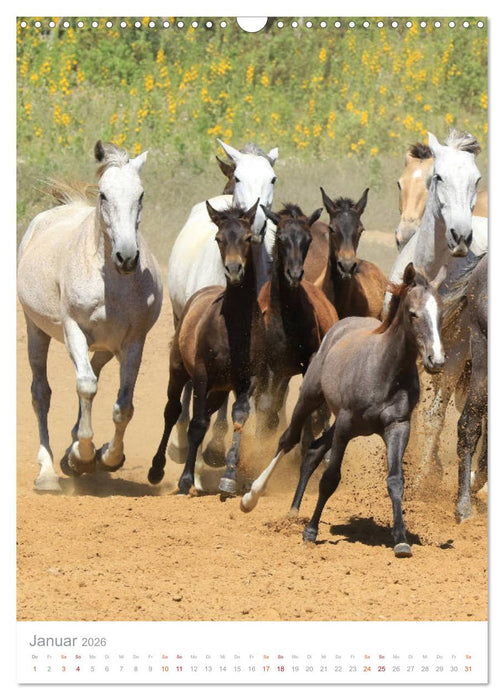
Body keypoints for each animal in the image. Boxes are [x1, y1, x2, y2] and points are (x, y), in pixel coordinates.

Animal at [17, 140, 163, 492]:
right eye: (104, 195)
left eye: (141, 194)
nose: (127, 257)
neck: (111, 283)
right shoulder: (74, 330)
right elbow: (85, 386)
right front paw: (82, 457)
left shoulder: (134, 341)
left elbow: (124, 406)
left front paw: (109, 456)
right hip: (35, 331)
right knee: (41, 393)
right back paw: (47, 472)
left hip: (107, 348)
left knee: (94, 372)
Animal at [148, 201, 268, 498]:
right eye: (219, 238)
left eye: (248, 237)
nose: (234, 270)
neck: (235, 328)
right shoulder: (202, 374)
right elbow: (197, 424)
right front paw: (186, 480)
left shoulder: (246, 380)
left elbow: (238, 418)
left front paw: (228, 478)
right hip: (179, 371)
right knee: (173, 411)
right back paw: (158, 469)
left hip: (218, 390)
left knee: (206, 414)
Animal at [167, 139, 278, 469]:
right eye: (238, 177)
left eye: (273, 179)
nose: (257, 224)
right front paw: (212, 447)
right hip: (180, 321)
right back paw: (180, 439)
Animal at [241, 263, 447, 558]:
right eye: (413, 313)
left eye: (440, 314)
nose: (436, 360)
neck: (385, 370)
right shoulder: (347, 424)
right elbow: (330, 478)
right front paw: (310, 532)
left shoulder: (397, 427)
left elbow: (396, 480)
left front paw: (401, 539)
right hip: (311, 399)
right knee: (288, 440)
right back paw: (252, 496)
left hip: (340, 423)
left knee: (313, 451)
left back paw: (293, 511)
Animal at [254, 204, 338, 435]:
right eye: (281, 238)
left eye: (307, 239)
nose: (294, 274)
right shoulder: (267, 365)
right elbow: (265, 404)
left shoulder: (308, 360)